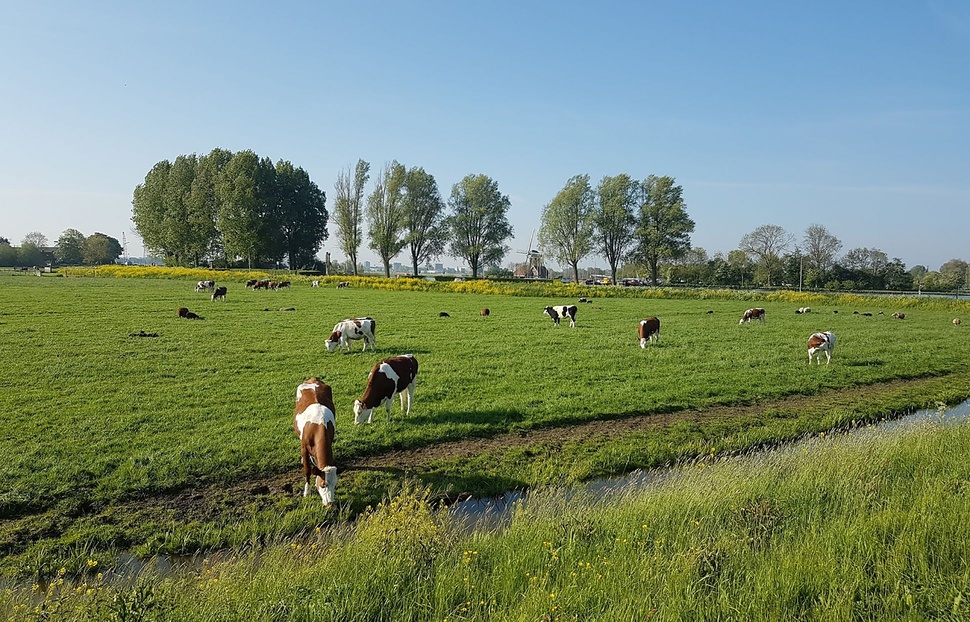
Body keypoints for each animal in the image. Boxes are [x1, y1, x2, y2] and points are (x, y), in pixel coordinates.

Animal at [292, 380, 336, 508]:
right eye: (323, 484)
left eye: (335, 484)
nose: (331, 504)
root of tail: (313, 379)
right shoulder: (304, 448)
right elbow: (307, 470)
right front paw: (306, 492)